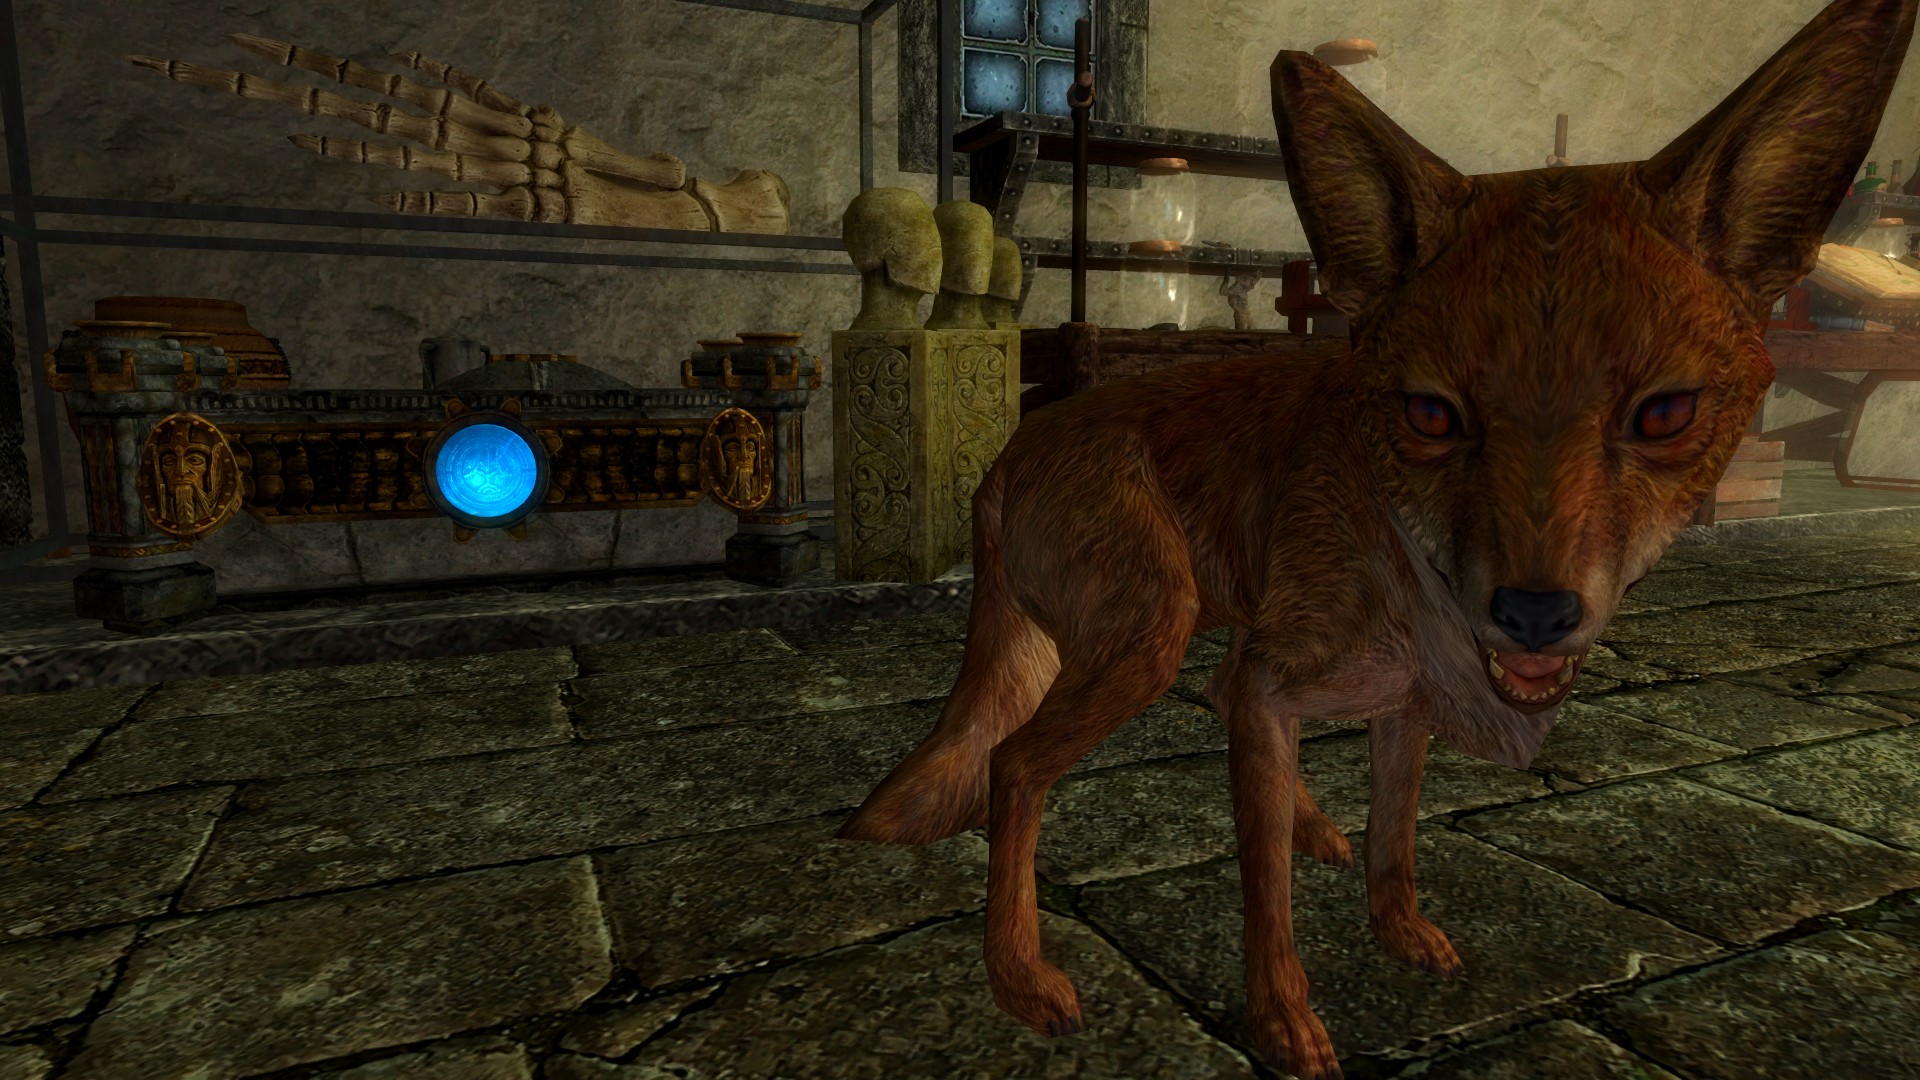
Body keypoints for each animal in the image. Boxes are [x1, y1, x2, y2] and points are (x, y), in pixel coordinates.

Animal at [837, 0, 1917, 1075]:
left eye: (1664, 416)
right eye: (1432, 416)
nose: (1534, 613)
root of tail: (1010, 452)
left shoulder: (1403, 709)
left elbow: (1393, 839)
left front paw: (1399, 934)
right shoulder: (1286, 684)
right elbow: (1263, 890)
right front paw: (1284, 1020)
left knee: (1205, 701)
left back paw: (1307, 827)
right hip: (1146, 636)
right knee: (1014, 766)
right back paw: (1022, 976)